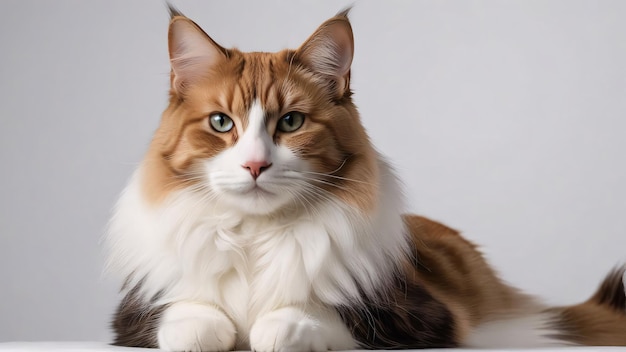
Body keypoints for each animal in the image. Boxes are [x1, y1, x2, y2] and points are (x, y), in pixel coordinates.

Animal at [106, 6, 624, 352]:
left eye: (291, 122)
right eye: (220, 123)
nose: (254, 165)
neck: (256, 235)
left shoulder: (423, 315)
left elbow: (314, 320)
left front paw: (273, 326)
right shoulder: (132, 317)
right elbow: (188, 318)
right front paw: (214, 329)